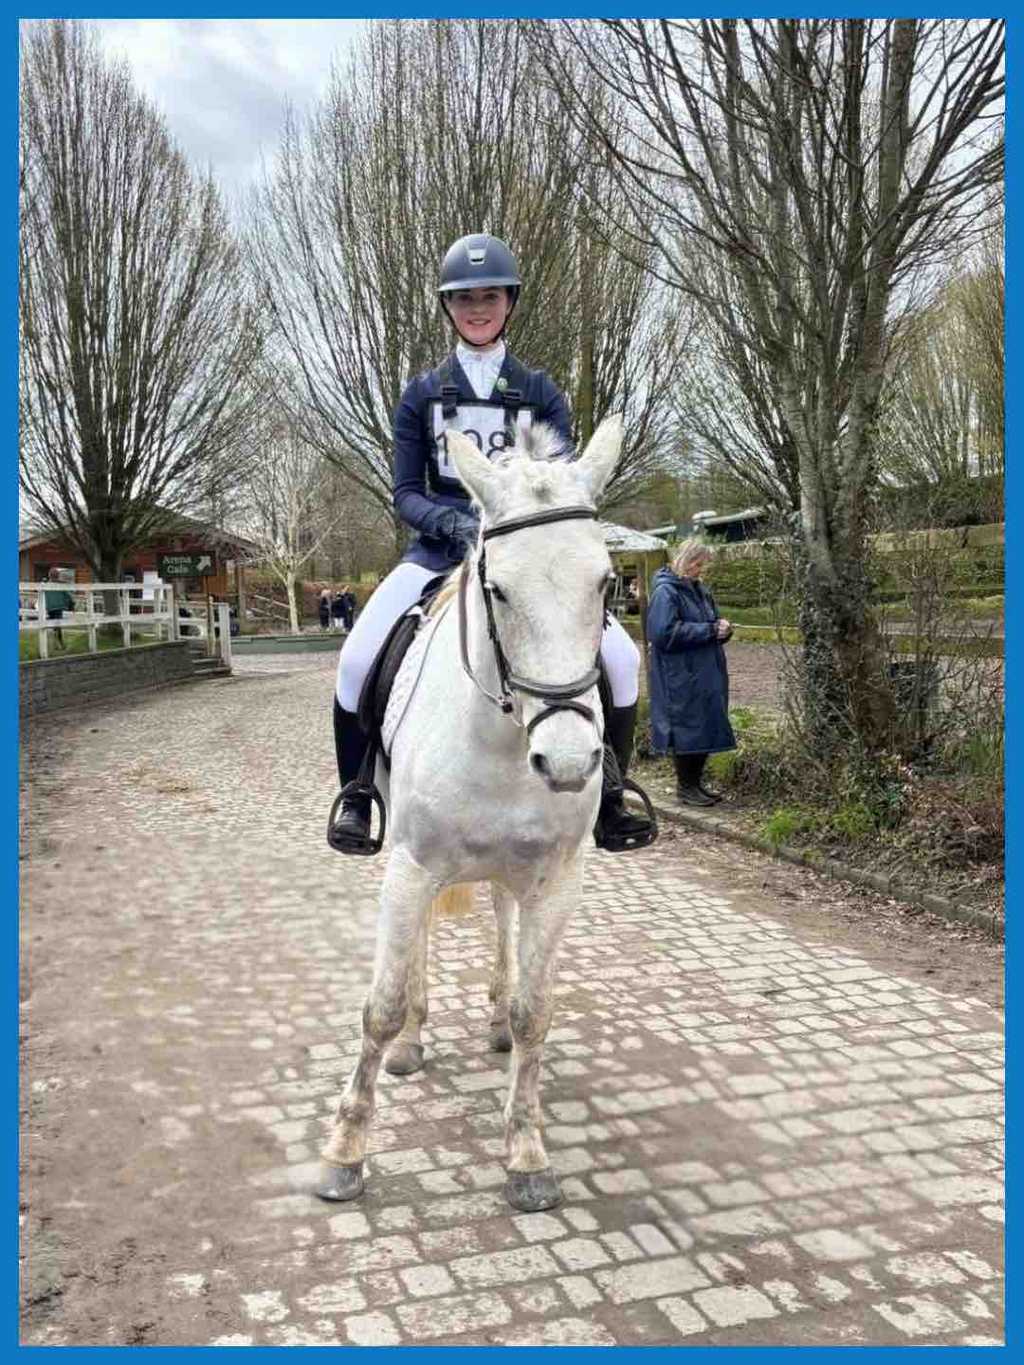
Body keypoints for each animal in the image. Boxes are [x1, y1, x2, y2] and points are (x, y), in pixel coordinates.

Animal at [316, 414, 624, 1213]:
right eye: (498, 589)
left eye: (606, 582)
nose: (569, 760)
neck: (505, 736)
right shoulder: (411, 866)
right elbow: (382, 1004)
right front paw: (345, 1151)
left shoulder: (558, 880)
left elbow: (534, 1010)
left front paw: (527, 1153)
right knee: (417, 951)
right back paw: (413, 1045)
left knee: (502, 916)